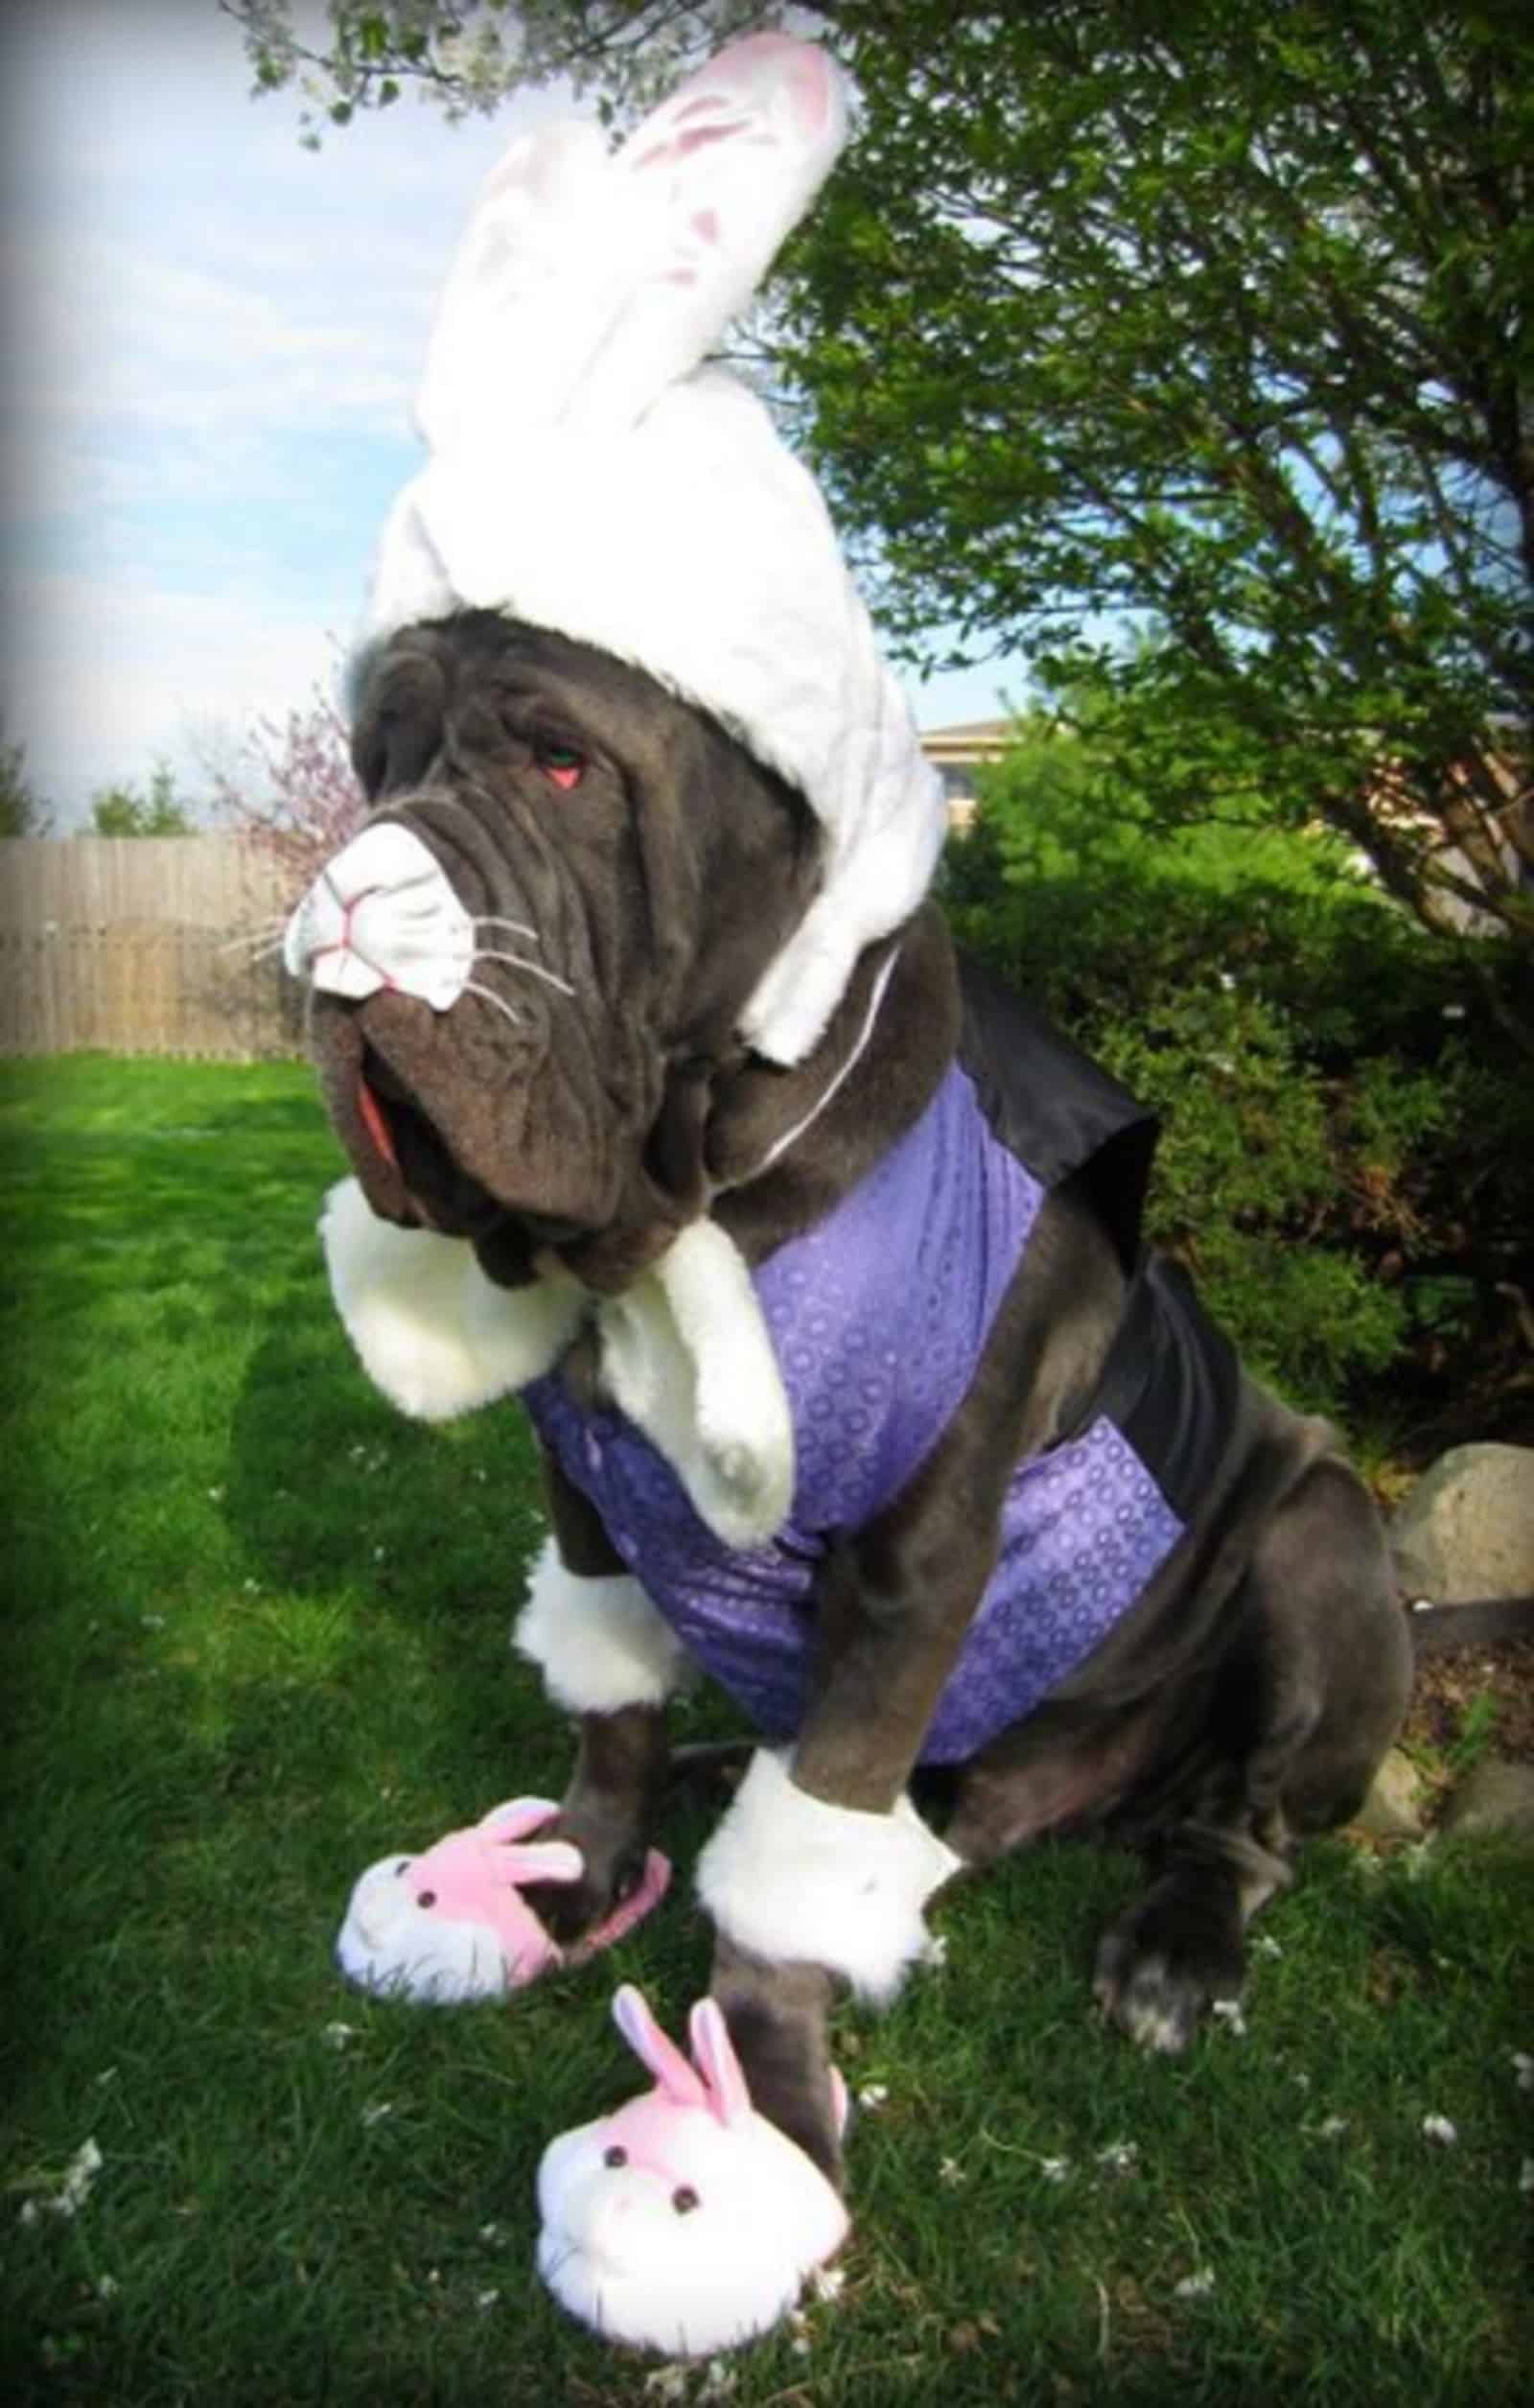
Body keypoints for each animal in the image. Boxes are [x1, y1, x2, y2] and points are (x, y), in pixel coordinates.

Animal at [284, 611, 1415, 2196]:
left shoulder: (910, 1562)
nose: (350, 902)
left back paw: (1176, 1948)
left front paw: (759, 2100)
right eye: (375, 764)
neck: (685, 1205)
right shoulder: (582, 1503)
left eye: (563, 760)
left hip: (1320, 1532)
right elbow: (608, 1715)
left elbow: (795, 1878)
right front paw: (577, 1871)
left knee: (1242, 1823)